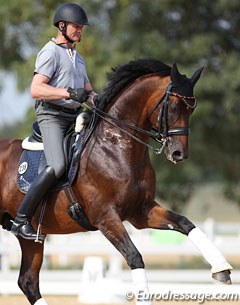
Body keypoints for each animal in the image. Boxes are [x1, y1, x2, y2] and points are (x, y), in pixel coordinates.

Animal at [0, 57, 232, 304]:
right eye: (174, 107)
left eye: (192, 108)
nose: (179, 154)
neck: (115, 147)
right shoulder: (105, 216)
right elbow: (134, 256)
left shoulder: (141, 211)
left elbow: (185, 223)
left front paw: (222, 269)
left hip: (34, 237)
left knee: (28, 282)